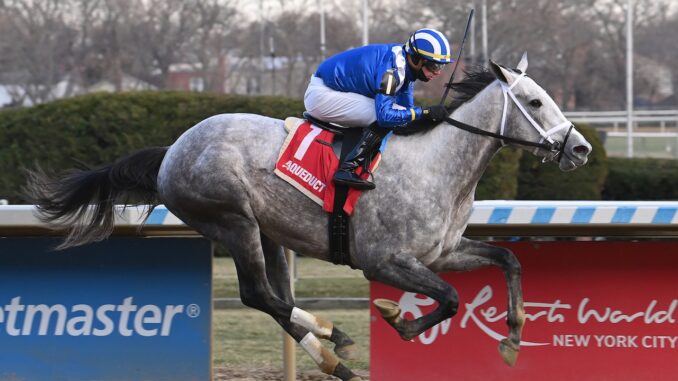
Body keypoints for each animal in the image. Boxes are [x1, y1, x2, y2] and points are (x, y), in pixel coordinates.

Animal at [26, 54, 588, 380]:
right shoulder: (383, 261)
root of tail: (171, 151)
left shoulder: (442, 252)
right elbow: (448, 299)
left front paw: (512, 339)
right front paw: (398, 320)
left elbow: (507, 260)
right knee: (258, 295)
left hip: (269, 231)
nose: (580, 149)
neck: (438, 166)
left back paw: (330, 343)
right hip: (233, 221)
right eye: (536, 101)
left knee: (274, 297)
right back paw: (331, 347)